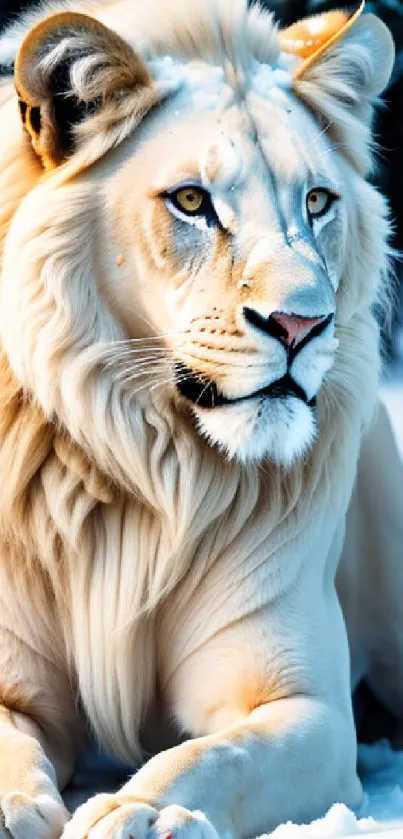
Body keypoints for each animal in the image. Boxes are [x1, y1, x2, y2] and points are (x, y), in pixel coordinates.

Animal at [0, 0, 400, 836]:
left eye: (316, 201)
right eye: (191, 202)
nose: (300, 324)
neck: (140, 461)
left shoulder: (302, 706)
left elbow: (218, 755)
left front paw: (135, 810)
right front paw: (20, 806)